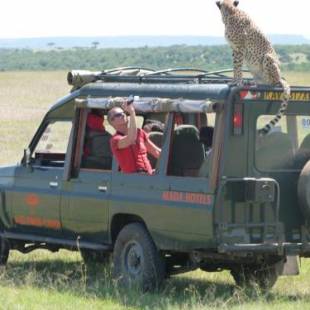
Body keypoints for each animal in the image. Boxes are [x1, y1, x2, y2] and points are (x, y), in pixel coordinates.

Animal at [216, 0, 290, 136]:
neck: (231, 12)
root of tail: (280, 77)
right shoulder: (234, 49)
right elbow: (235, 66)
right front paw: (236, 81)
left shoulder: (239, 48)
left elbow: (237, 67)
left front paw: (237, 82)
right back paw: (253, 82)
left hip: (267, 58)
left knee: (273, 82)